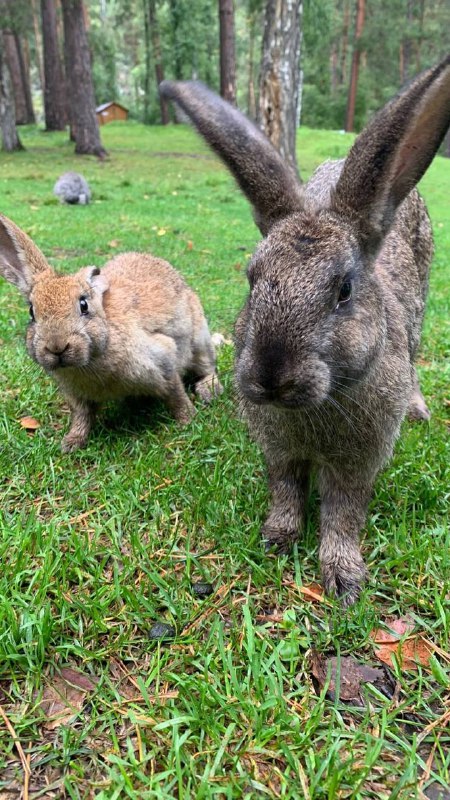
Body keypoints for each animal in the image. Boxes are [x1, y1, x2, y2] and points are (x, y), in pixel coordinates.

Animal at [0, 217, 221, 450]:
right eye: (31, 312)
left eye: (83, 305)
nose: (56, 347)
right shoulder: (78, 396)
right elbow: (82, 416)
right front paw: (71, 443)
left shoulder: (163, 358)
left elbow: (175, 394)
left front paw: (188, 420)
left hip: (200, 339)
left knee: (207, 367)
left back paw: (209, 391)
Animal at [161, 53, 450, 604]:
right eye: (252, 280)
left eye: (344, 290)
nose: (270, 378)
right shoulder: (279, 450)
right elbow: (286, 488)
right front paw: (277, 539)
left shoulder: (357, 463)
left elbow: (343, 512)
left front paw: (343, 577)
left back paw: (419, 408)